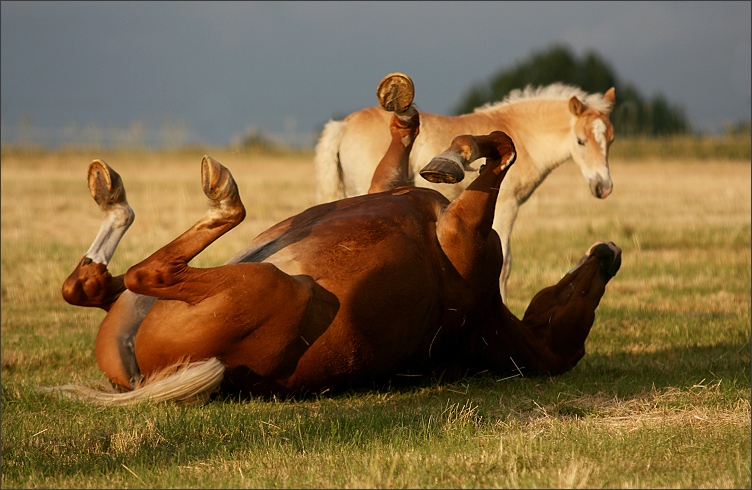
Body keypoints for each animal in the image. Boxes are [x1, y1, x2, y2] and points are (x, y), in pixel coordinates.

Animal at [314, 75, 612, 302]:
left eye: (610, 139)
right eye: (580, 140)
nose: (604, 187)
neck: (521, 133)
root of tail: (342, 125)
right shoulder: (507, 206)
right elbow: (505, 263)